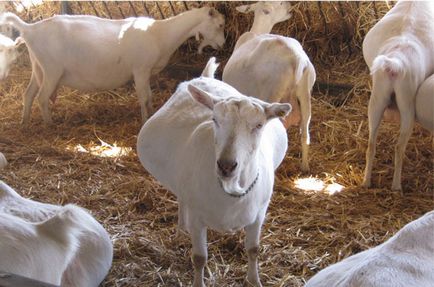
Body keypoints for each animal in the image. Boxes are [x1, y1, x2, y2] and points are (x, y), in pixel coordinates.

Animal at [0, 7, 224, 125]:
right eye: (221, 25)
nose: (222, 44)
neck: (160, 34)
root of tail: (30, 29)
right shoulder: (140, 69)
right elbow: (143, 97)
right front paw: (145, 119)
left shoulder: (146, 72)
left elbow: (149, 96)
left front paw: (151, 113)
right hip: (52, 70)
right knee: (42, 97)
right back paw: (49, 124)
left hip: (38, 68)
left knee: (29, 94)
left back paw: (25, 122)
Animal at [137, 73, 290, 286]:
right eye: (215, 119)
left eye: (259, 125)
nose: (226, 165)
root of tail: (205, 77)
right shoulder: (197, 218)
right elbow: (199, 258)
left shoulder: (259, 213)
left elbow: (253, 250)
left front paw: (254, 280)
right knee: (181, 200)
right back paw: (180, 231)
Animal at [224, 1, 316, 172]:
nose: (290, 7)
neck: (256, 31)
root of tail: (297, 59)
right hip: (305, 94)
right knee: (305, 134)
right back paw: (305, 167)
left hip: (272, 96)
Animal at [360, 1, 434, 194]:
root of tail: (394, 64)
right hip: (407, 105)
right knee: (399, 148)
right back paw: (396, 186)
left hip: (377, 99)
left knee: (371, 144)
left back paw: (366, 181)